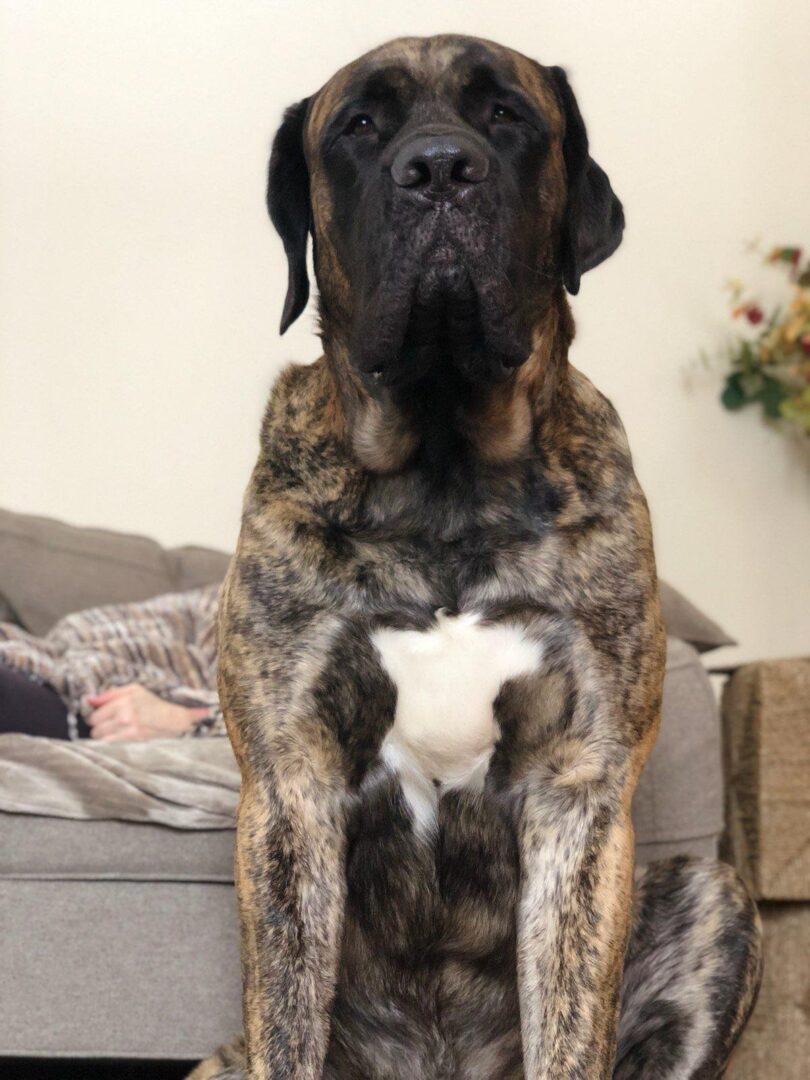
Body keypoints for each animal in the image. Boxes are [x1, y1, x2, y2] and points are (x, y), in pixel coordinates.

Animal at [193, 33, 764, 1080]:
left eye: (506, 115)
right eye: (360, 126)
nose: (438, 169)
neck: (445, 479)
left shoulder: (580, 790)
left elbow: (568, 1024)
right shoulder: (290, 786)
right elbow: (289, 1017)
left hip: (713, 896)